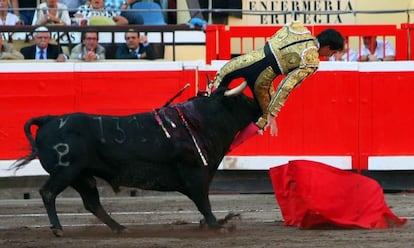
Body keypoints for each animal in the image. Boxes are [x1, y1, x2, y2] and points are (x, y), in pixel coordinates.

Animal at [12, 90, 258, 236]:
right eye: (240, 99)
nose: (257, 104)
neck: (200, 121)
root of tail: (50, 119)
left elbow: (203, 202)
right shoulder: (196, 175)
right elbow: (204, 202)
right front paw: (217, 226)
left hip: (82, 177)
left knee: (92, 202)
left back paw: (121, 228)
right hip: (66, 171)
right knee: (48, 192)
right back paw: (58, 229)